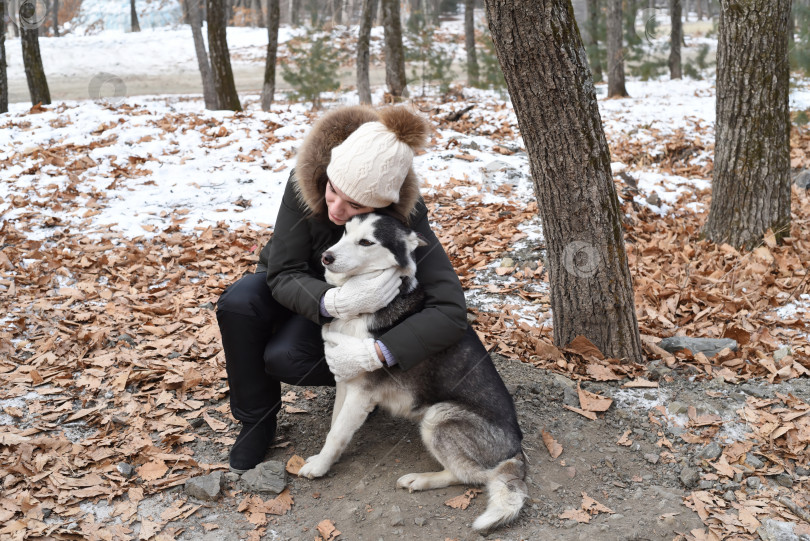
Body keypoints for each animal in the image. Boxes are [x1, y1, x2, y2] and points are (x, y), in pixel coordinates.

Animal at [294, 212, 528, 532]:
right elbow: (335, 426)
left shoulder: (361, 393)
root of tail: (516, 449)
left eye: (366, 242)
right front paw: (324, 458)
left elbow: (337, 433)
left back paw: (420, 479)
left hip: (438, 415)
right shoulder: (345, 381)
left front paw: (319, 467)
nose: (326, 257)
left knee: (474, 476)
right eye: (345, 231)